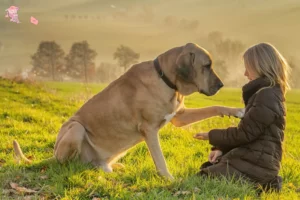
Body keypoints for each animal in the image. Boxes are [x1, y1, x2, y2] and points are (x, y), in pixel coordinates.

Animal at [13, 42, 244, 180]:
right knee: (68, 164)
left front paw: (236, 111)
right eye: (206, 66)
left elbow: (213, 107)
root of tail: (52, 155)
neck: (165, 79)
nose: (221, 85)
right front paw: (169, 179)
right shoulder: (149, 130)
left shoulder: (179, 116)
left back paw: (109, 168)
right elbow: (160, 159)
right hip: (75, 129)